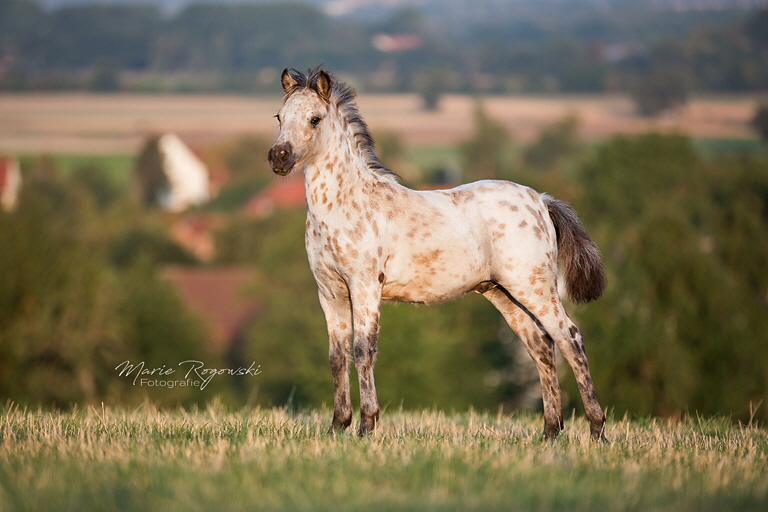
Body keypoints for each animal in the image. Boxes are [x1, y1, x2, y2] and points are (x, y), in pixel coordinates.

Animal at [268, 67, 608, 440]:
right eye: (279, 116)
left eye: (315, 119)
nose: (279, 156)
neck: (344, 206)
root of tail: (542, 200)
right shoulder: (329, 291)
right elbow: (337, 356)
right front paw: (337, 426)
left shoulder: (365, 285)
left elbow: (363, 351)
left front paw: (366, 426)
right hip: (501, 292)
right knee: (541, 346)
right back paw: (549, 431)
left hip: (534, 286)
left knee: (569, 338)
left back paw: (596, 430)